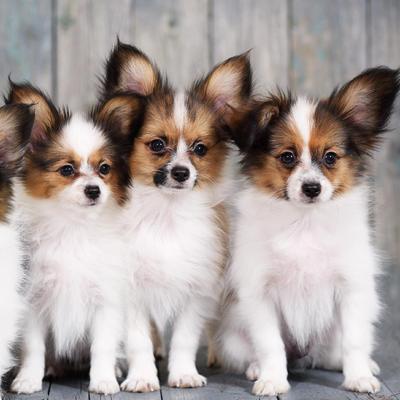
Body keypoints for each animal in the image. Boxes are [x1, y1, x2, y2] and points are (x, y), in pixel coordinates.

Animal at [5, 81, 134, 394]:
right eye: (66, 169)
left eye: (104, 168)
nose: (93, 190)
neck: (74, 228)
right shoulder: (34, 302)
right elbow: (33, 348)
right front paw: (28, 379)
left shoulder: (105, 301)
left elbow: (103, 346)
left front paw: (103, 380)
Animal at [99, 42, 252, 392]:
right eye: (157, 144)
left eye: (200, 149)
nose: (181, 173)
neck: (165, 212)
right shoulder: (131, 291)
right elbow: (138, 340)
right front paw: (142, 377)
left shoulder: (198, 288)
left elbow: (185, 338)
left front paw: (183, 374)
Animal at [219, 67, 400, 396]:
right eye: (287, 157)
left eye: (330, 157)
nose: (312, 188)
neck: (304, 223)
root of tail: (304, 355)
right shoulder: (260, 293)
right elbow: (270, 344)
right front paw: (272, 379)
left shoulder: (352, 288)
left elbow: (355, 341)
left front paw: (359, 378)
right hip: (233, 336)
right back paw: (256, 368)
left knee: (336, 353)